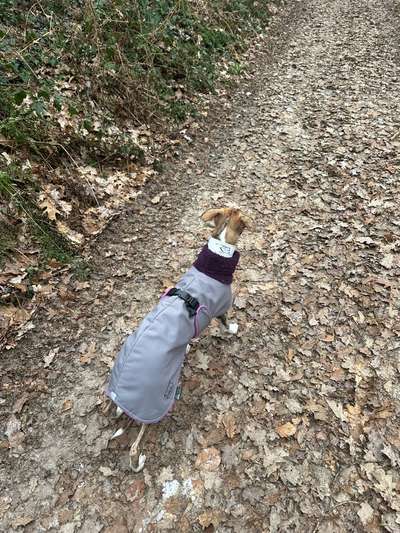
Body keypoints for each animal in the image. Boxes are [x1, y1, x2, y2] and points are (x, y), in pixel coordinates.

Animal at [106, 206, 250, 468]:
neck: (217, 255)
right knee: (134, 448)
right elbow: (226, 324)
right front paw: (233, 329)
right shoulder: (222, 308)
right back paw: (139, 460)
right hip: (154, 404)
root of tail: (117, 393)